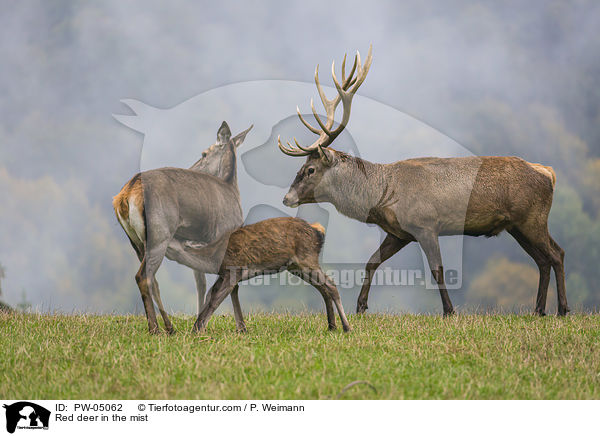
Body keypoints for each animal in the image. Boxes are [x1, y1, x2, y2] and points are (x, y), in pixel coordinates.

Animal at [185, 216, 350, 332]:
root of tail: (318, 230)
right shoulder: (226, 274)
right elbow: (213, 294)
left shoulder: (232, 270)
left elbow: (216, 298)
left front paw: (198, 330)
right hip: (297, 267)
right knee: (323, 288)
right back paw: (332, 326)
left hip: (307, 260)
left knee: (330, 284)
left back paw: (346, 327)